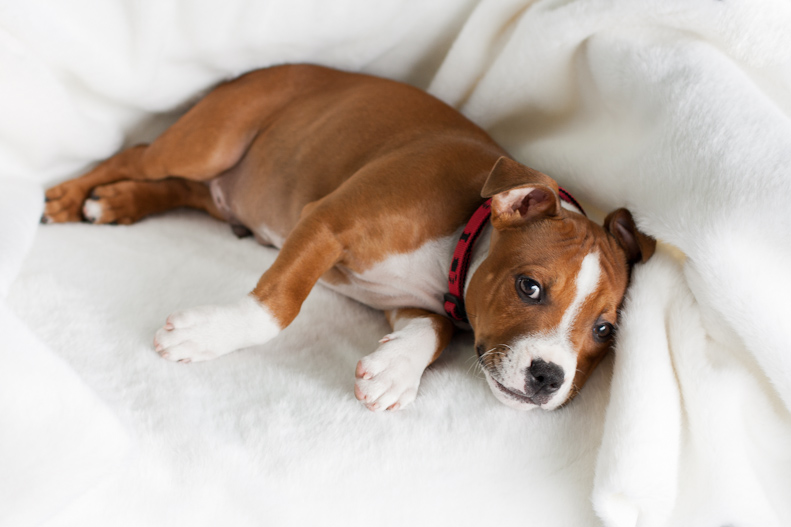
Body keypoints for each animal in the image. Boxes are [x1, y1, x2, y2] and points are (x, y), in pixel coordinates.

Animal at [43, 65, 656, 412]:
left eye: (604, 330)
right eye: (528, 287)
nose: (549, 376)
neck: (459, 241)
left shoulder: (409, 302)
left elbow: (434, 333)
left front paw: (395, 370)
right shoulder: (326, 222)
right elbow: (279, 305)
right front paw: (209, 334)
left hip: (222, 180)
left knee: (181, 188)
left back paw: (118, 203)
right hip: (211, 139)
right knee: (137, 155)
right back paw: (71, 196)